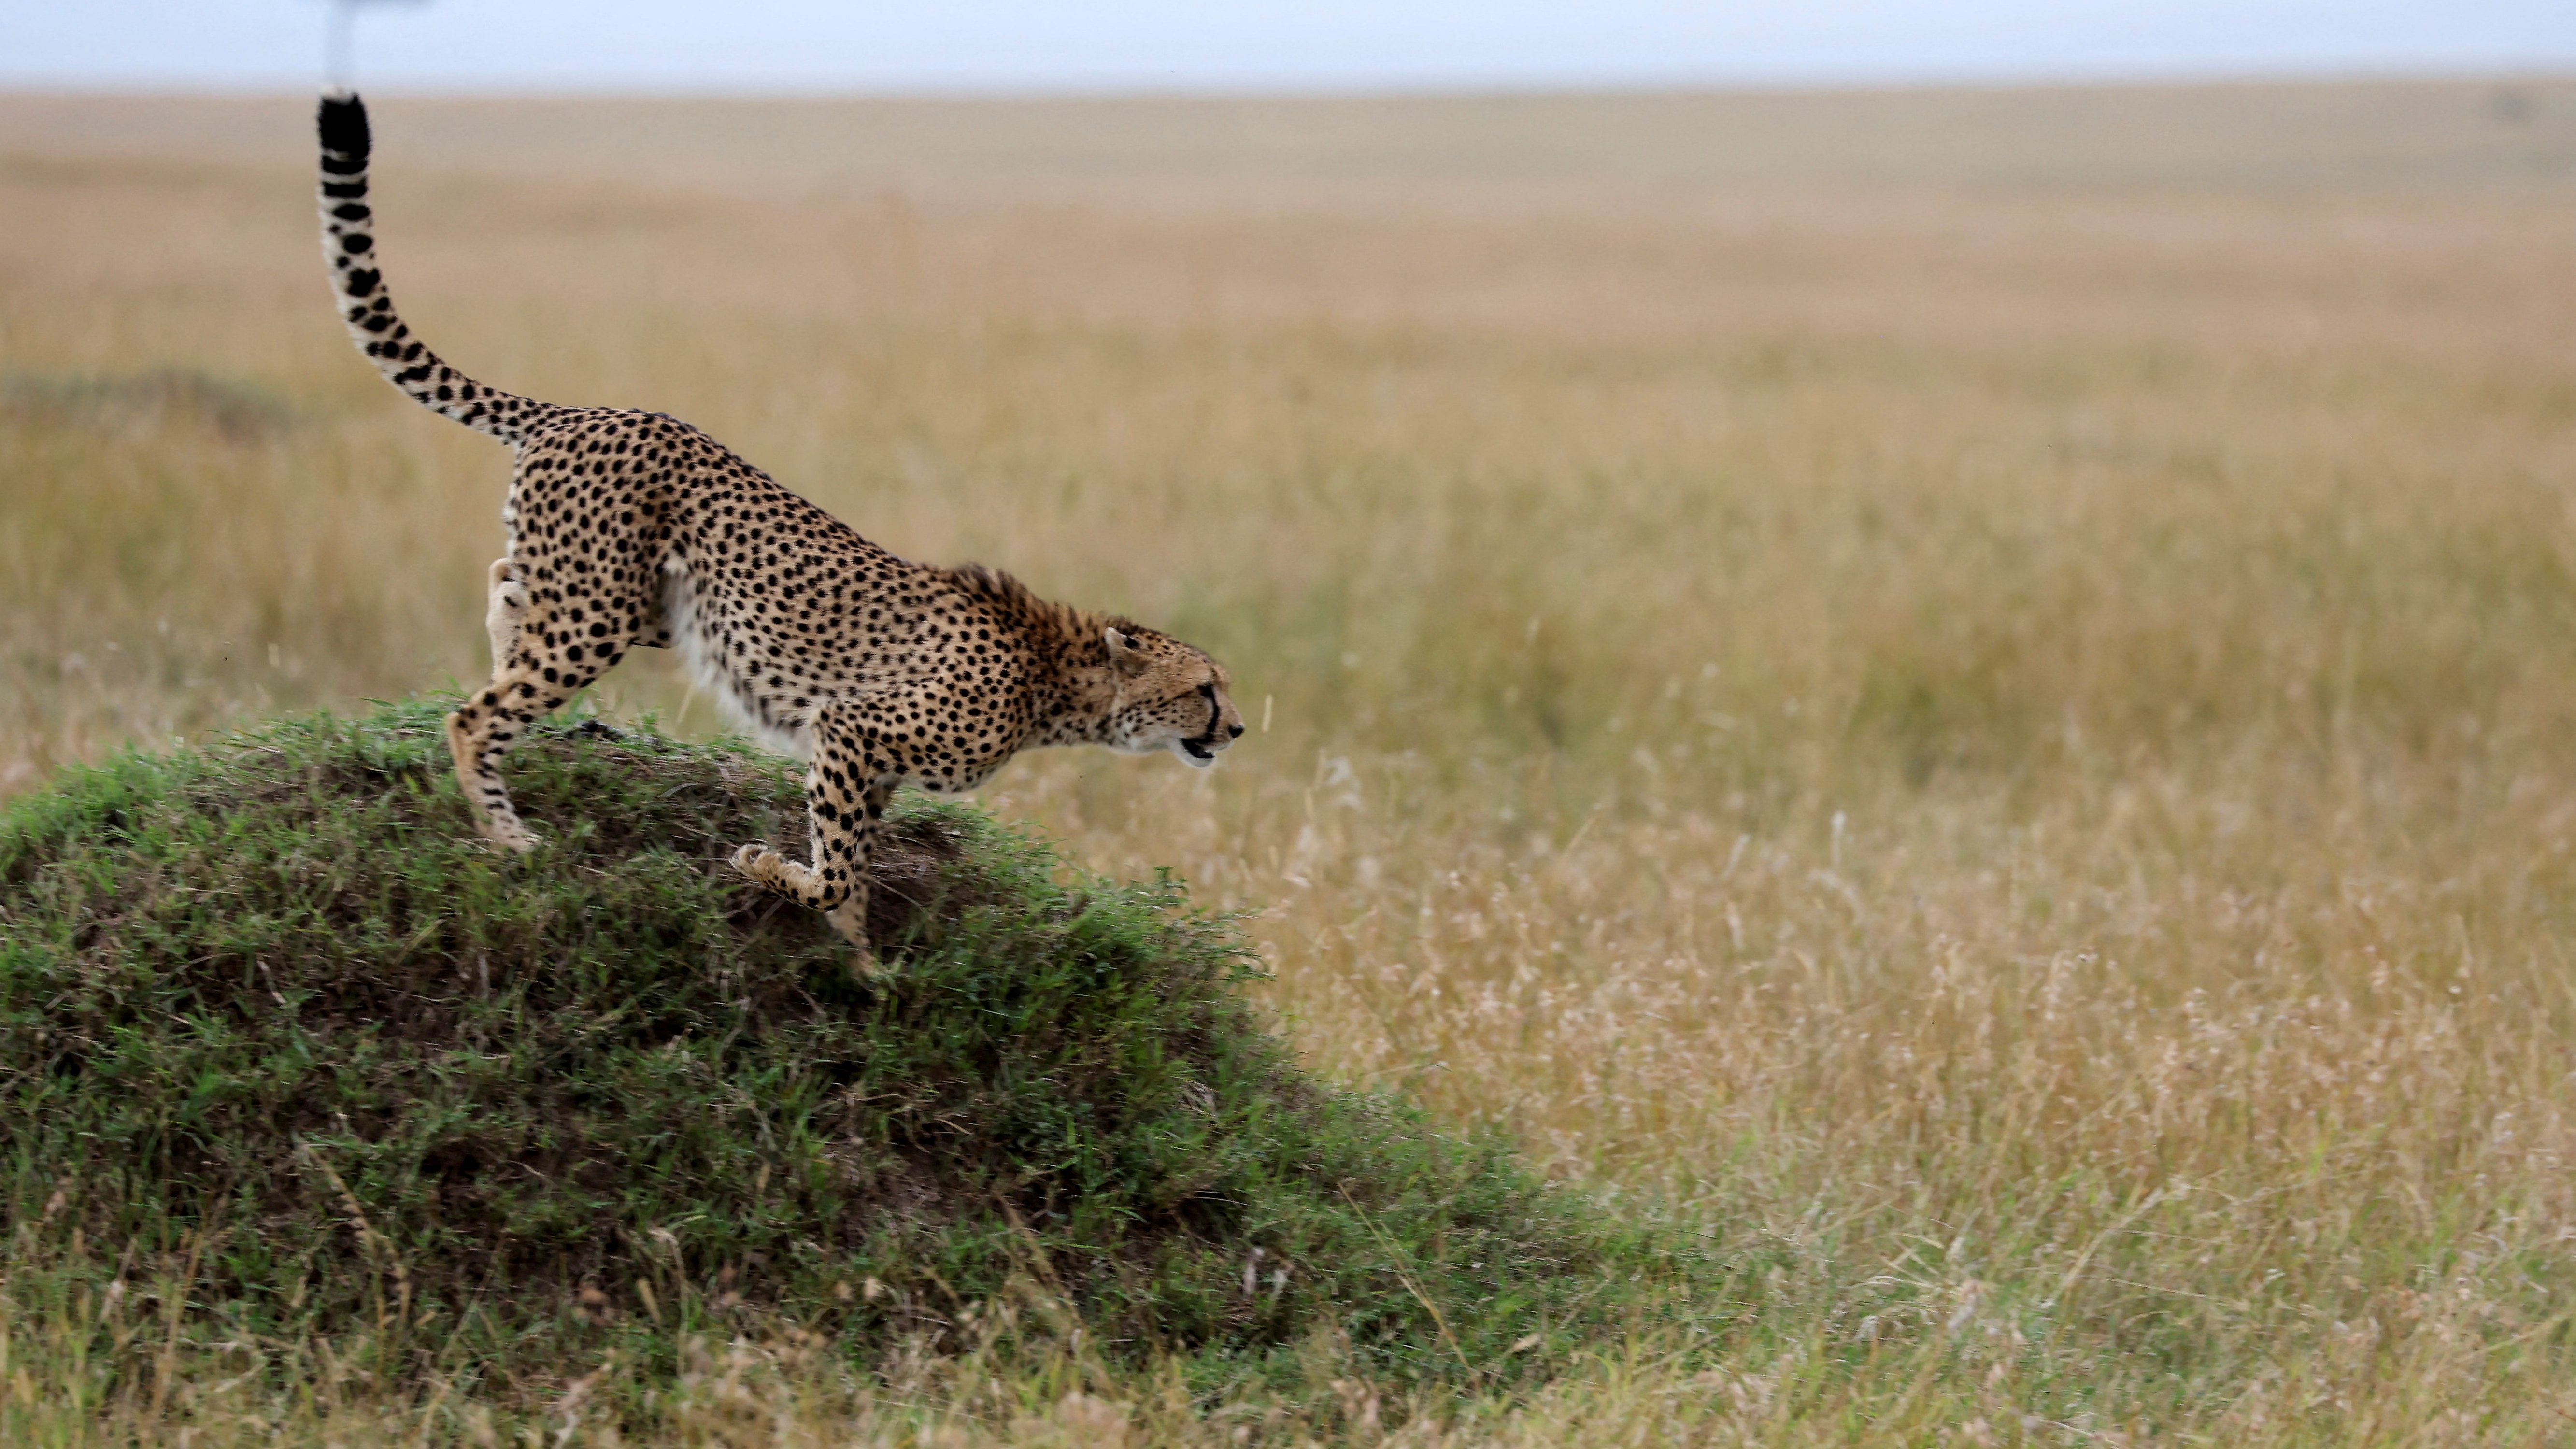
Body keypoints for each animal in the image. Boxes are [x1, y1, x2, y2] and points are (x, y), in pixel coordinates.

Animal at [316, 90, 1241, 957]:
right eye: (1203, 688)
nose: (1234, 728)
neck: (1056, 684)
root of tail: (585, 410)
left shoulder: (868, 764)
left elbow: (854, 866)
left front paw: (864, 959)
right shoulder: (850, 729)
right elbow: (833, 869)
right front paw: (772, 872)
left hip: (640, 604)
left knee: (505, 586)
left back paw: (504, 677)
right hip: (601, 612)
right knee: (472, 714)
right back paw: (506, 834)